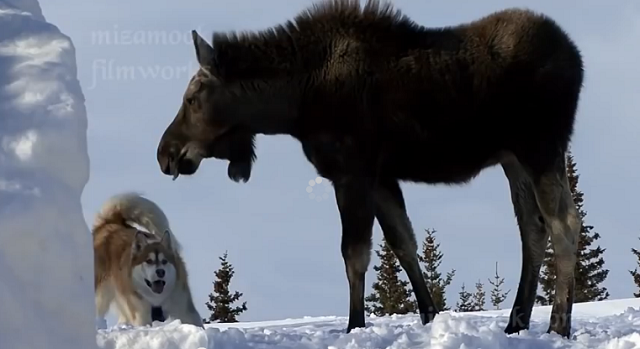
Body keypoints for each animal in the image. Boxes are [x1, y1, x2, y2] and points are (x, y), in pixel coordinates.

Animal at [92, 192, 202, 328]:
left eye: (164, 261)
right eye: (148, 261)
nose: (160, 272)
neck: (157, 302)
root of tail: (110, 223)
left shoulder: (183, 308)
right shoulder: (141, 316)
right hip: (101, 295)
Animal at [156, 0, 584, 338]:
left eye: (192, 97)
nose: (165, 154)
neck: (293, 105)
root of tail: (576, 58)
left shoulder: (351, 172)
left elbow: (355, 253)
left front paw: (354, 325)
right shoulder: (382, 177)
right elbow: (403, 243)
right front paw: (430, 316)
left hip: (541, 148)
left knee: (565, 223)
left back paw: (558, 325)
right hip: (513, 159)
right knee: (533, 228)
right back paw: (516, 322)